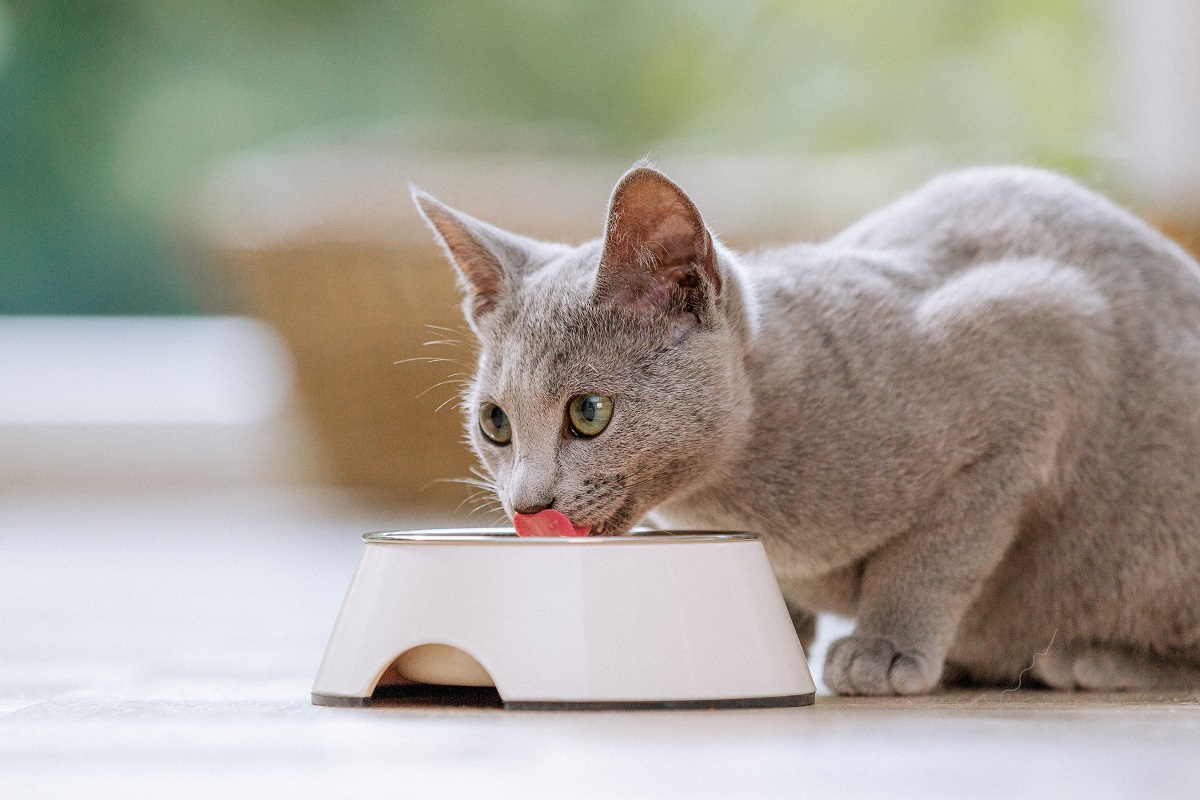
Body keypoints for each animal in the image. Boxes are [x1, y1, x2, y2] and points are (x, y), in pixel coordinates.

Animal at [412, 164, 1200, 695]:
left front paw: (884, 646)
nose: (527, 504)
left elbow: (937, 552)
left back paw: (1089, 658)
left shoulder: (1045, 343)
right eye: (495, 423)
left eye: (588, 413)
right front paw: (766, 632)